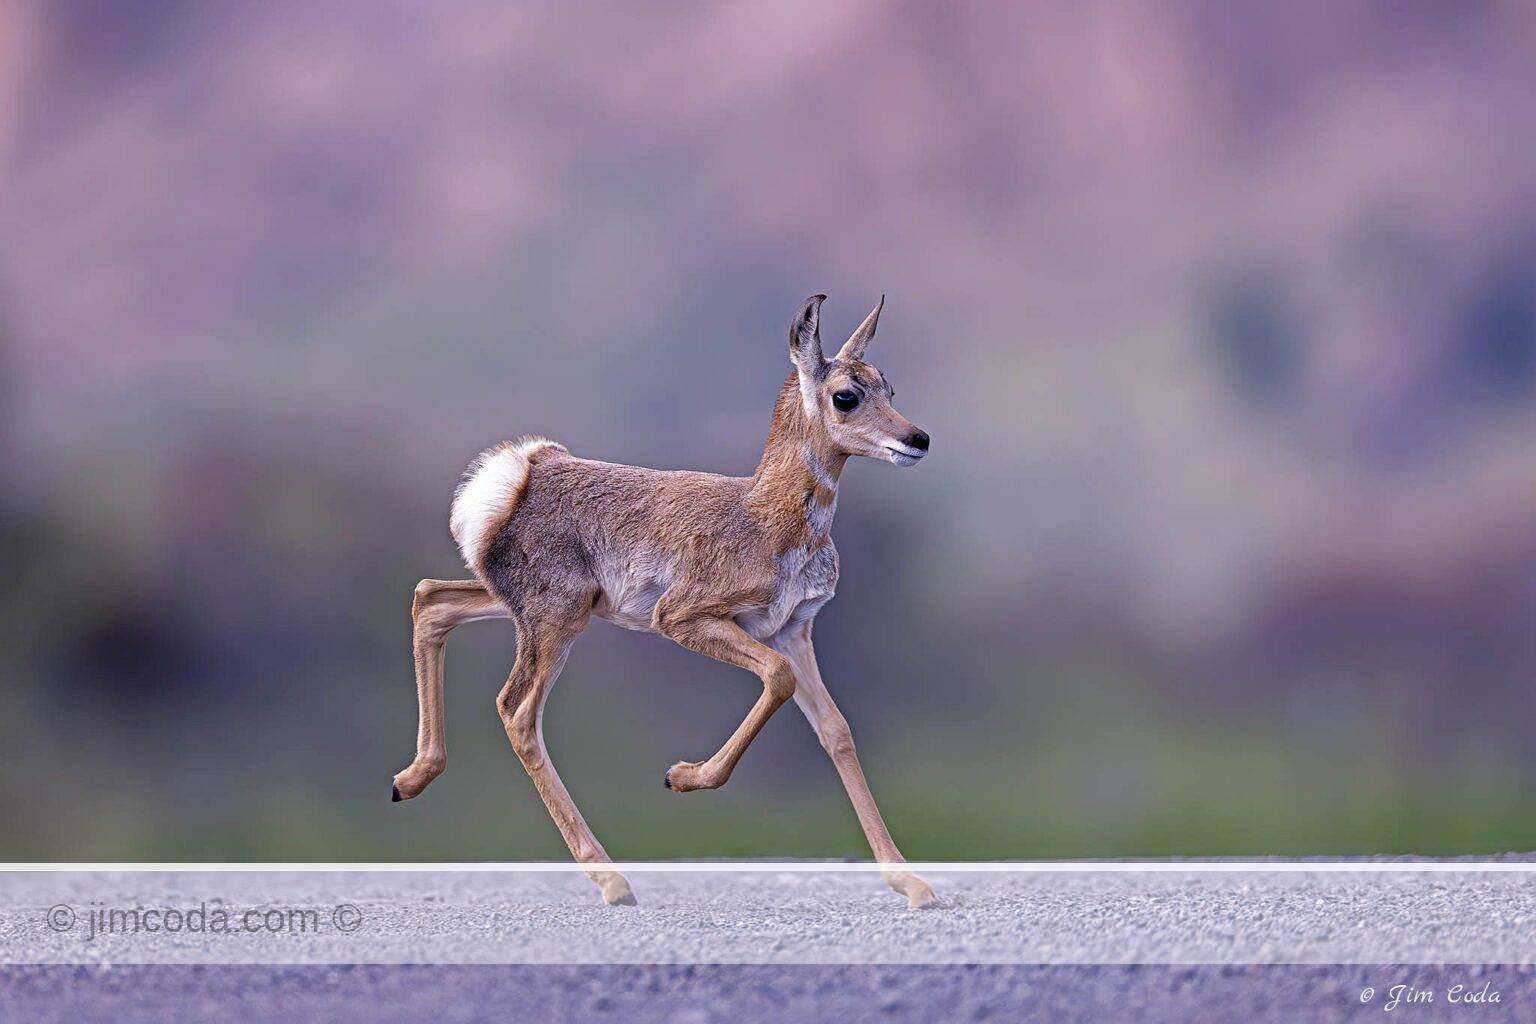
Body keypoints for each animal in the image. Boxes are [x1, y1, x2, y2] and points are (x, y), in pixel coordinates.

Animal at [391, 295, 937, 909]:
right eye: (847, 394)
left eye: (888, 386)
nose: (918, 439)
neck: (765, 515)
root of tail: (525, 473)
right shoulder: (684, 619)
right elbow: (776, 679)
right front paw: (681, 776)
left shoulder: (792, 631)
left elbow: (836, 730)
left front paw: (913, 884)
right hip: (557, 622)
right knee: (517, 710)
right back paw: (612, 880)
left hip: (519, 603)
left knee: (431, 600)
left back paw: (410, 780)